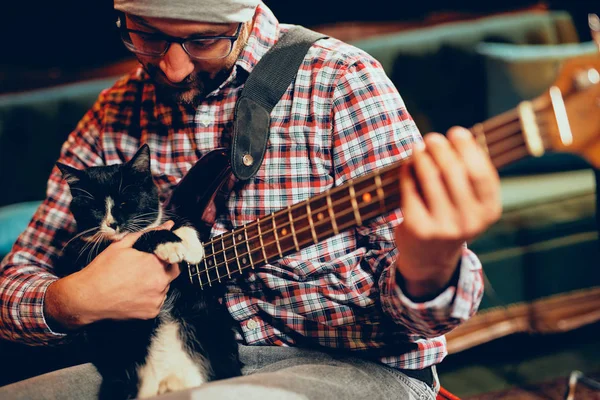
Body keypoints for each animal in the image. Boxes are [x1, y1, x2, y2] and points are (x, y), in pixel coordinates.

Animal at [55, 145, 241, 400]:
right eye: (95, 208)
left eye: (125, 202)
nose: (113, 223)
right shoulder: (87, 256)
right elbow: (142, 235)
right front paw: (171, 245)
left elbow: (178, 222)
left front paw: (192, 247)